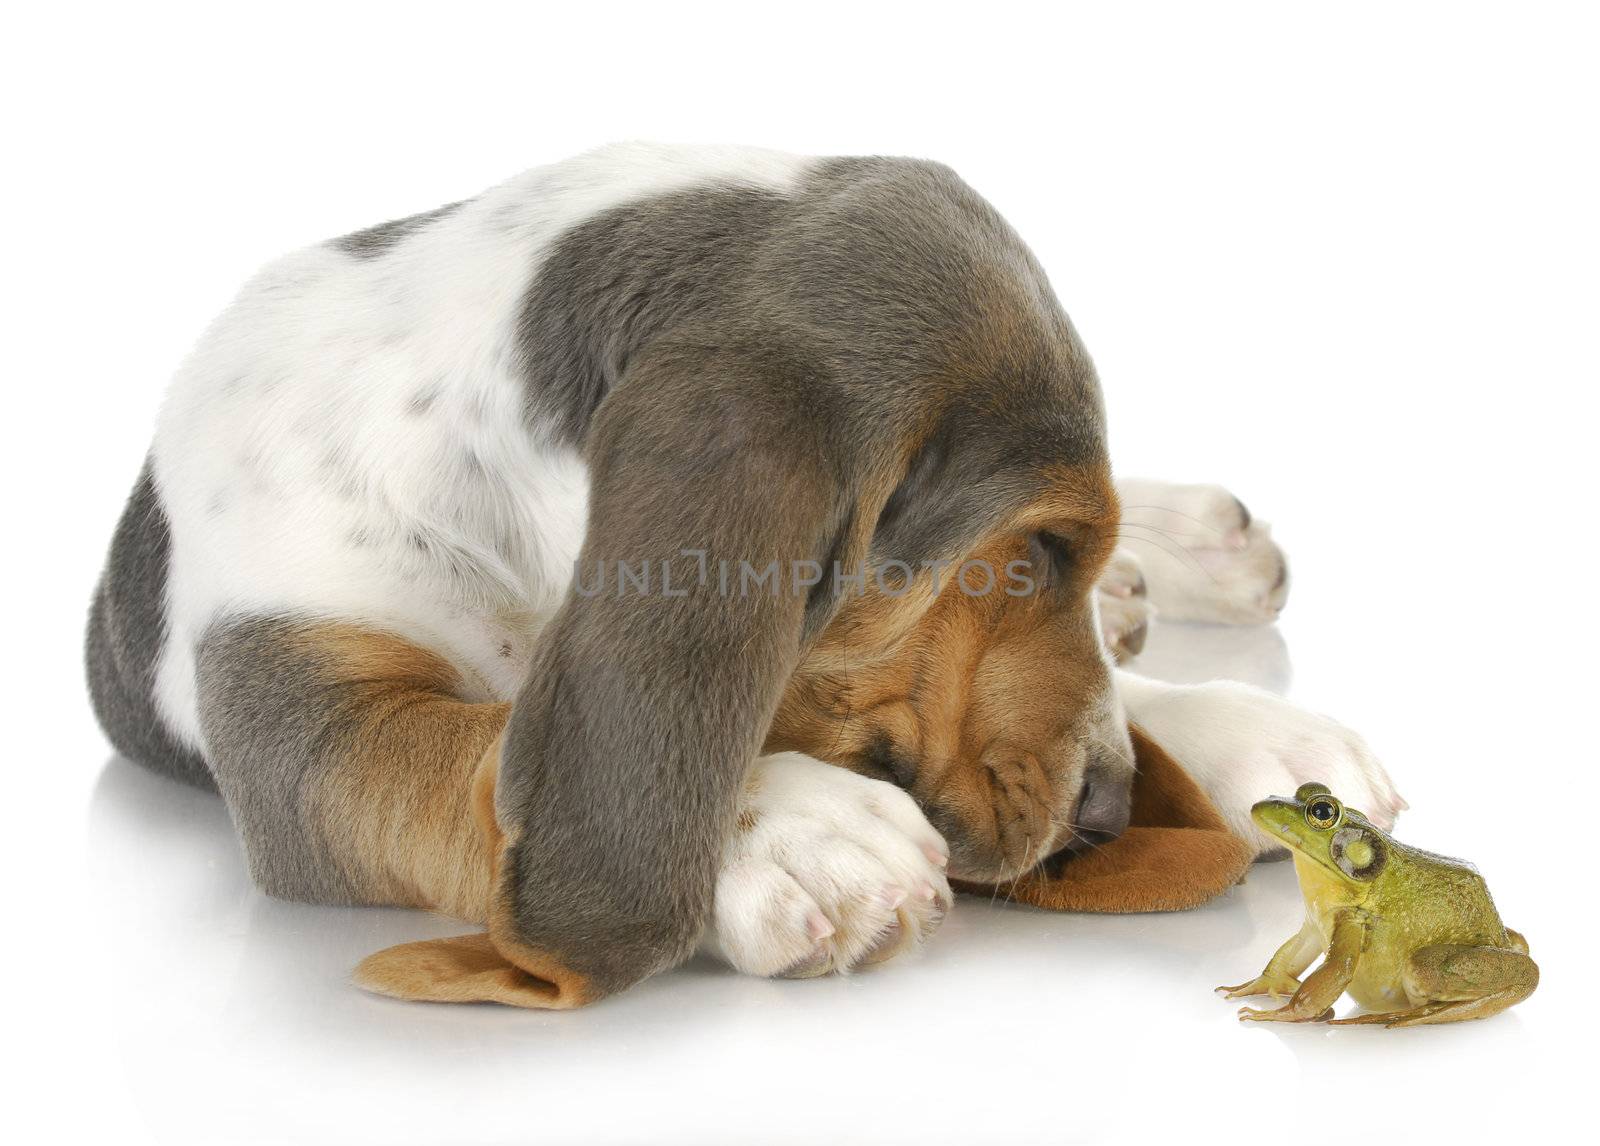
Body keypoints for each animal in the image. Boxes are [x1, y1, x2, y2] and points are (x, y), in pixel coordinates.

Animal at [84, 145, 1401, 1011]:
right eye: (1025, 553)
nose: (1109, 814)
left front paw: (1239, 734)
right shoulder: (304, 717)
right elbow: (477, 755)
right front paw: (788, 831)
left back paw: (1184, 559)